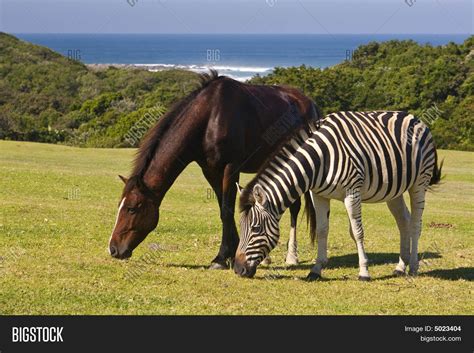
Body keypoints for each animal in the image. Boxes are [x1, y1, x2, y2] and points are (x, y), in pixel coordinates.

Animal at [109, 69, 320, 268]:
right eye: (119, 205)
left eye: (132, 208)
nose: (113, 249)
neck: (209, 118)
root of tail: (310, 104)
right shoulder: (210, 171)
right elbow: (222, 210)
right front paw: (229, 254)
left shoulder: (231, 168)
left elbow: (227, 210)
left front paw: (221, 258)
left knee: (295, 208)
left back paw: (292, 256)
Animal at [235, 110, 442, 280]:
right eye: (241, 226)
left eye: (255, 229)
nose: (238, 269)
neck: (319, 160)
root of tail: (415, 118)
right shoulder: (318, 195)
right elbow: (322, 230)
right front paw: (316, 270)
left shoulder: (352, 192)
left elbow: (357, 232)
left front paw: (364, 272)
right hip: (394, 191)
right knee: (403, 221)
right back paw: (400, 267)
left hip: (419, 182)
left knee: (415, 223)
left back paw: (413, 267)